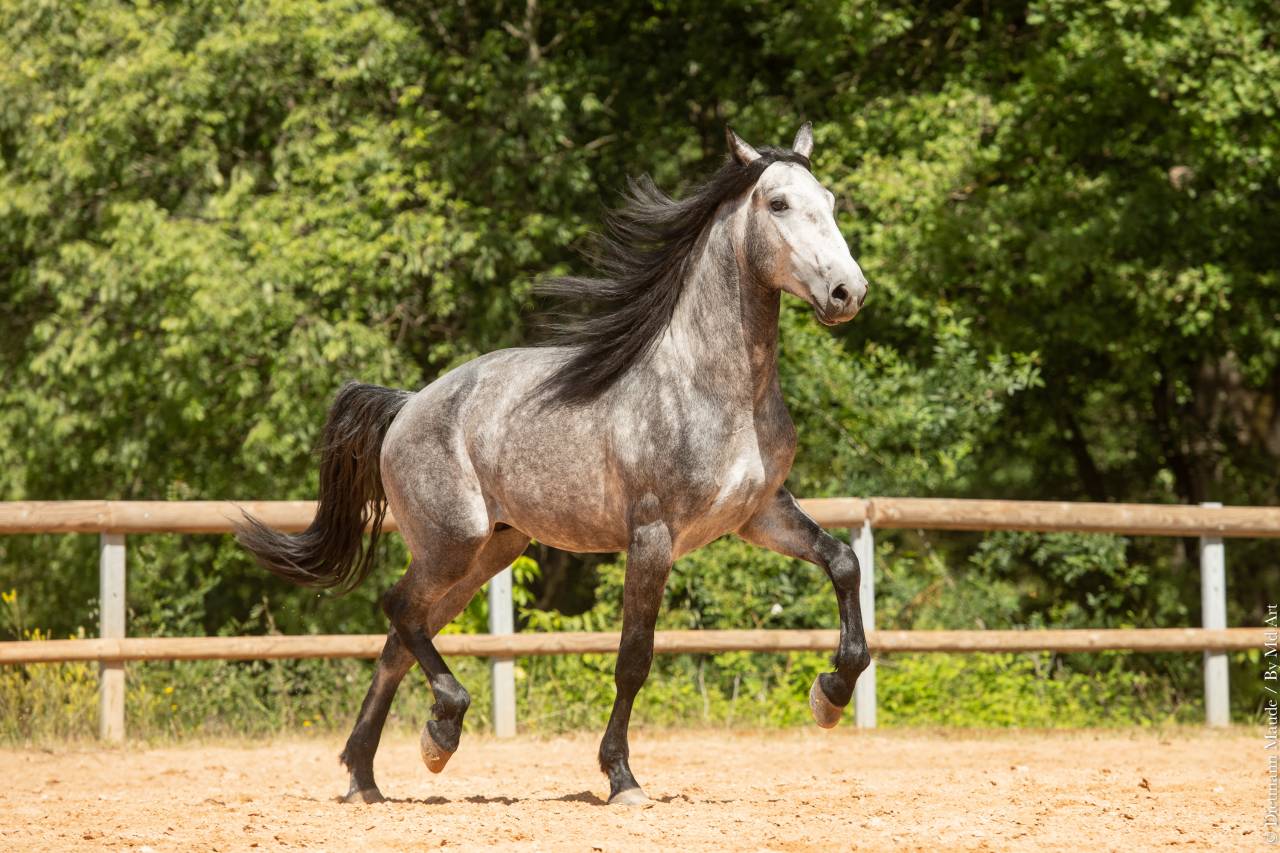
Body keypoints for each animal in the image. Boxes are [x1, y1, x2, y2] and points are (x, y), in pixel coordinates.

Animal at [237, 123, 872, 806]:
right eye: (777, 204)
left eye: (830, 201)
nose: (848, 292)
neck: (715, 387)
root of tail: (408, 405)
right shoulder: (653, 537)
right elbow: (634, 657)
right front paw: (621, 778)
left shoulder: (759, 515)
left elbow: (843, 562)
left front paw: (831, 694)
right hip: (451, 543)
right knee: (400, 610)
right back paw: (440, 731)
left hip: (490, 550)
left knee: (400, 639)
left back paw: (367, 777)